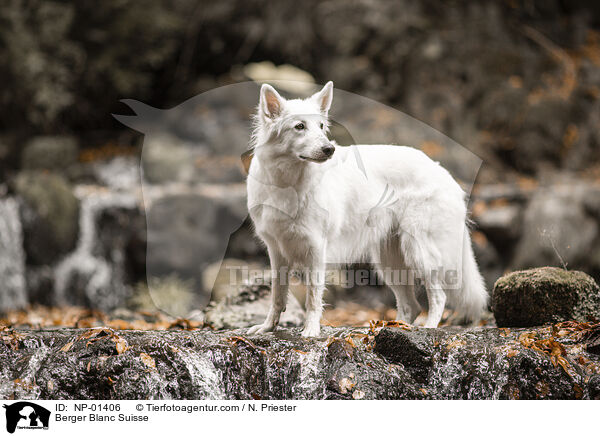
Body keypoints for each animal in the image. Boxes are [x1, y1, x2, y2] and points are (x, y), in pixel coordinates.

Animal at [246, 82, 486, 338]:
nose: (329, 149)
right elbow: (277, 296)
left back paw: (427, 329)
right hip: (389, 262)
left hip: (419, 252)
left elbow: (312, 298)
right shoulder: (276, 251)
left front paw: (310, 330)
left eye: (321, 126)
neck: (286, 184)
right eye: (299, 126)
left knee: (438, 297)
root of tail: (443, 171)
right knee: (411, 306)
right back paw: (393, 328)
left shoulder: (316, 250)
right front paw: (268, 327)